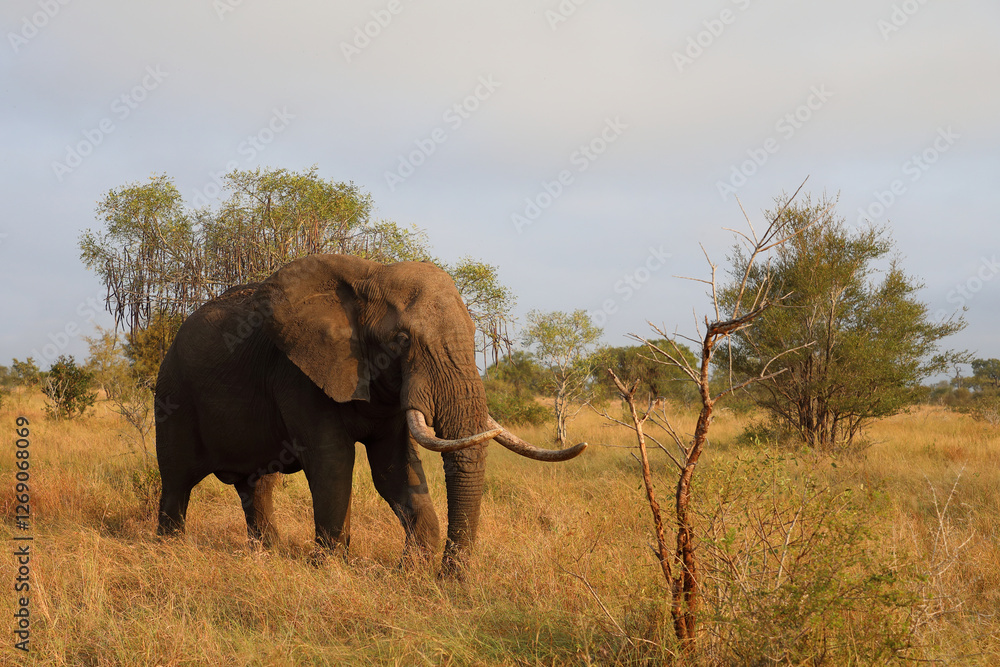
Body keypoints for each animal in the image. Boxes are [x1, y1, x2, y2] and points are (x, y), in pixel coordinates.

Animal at [154, 253, 586, 574]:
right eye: (403, 340)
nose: (450, 580)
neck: (371, 275)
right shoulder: (297, 374)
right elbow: (333, 462)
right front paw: (329, 569)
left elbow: (395, 469)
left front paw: (411, 572)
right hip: (173, 393)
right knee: (177, 480)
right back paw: (169, 550)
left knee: (256, 484)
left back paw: (267, 556)